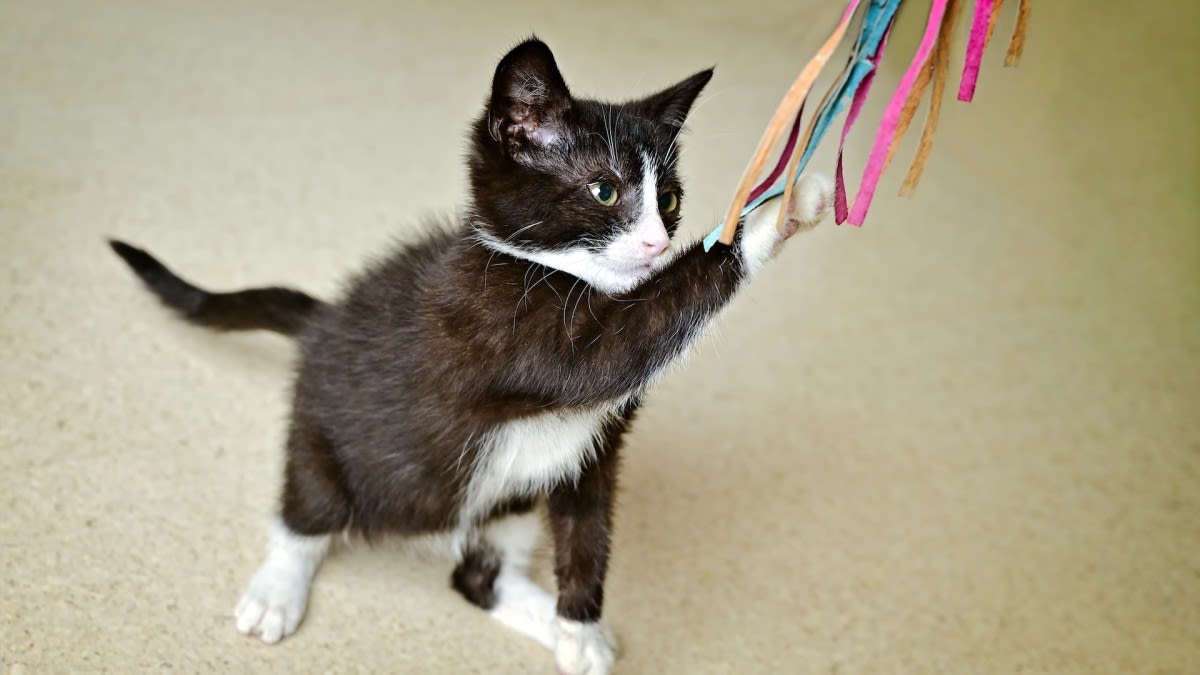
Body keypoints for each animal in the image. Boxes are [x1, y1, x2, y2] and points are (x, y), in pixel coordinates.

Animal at [108, 38, 830, 672]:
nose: (656, 243)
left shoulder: (592, 449)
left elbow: (588, 528)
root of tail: (323, 319)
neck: (547, 271)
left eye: (670, 200)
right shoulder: (509, 332)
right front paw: (780, 208)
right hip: (325, 435)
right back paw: (276, 590)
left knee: (476, 574)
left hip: (511, 493)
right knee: (307, 510)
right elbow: (642, 326)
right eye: (604, 191)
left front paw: (579, 627)